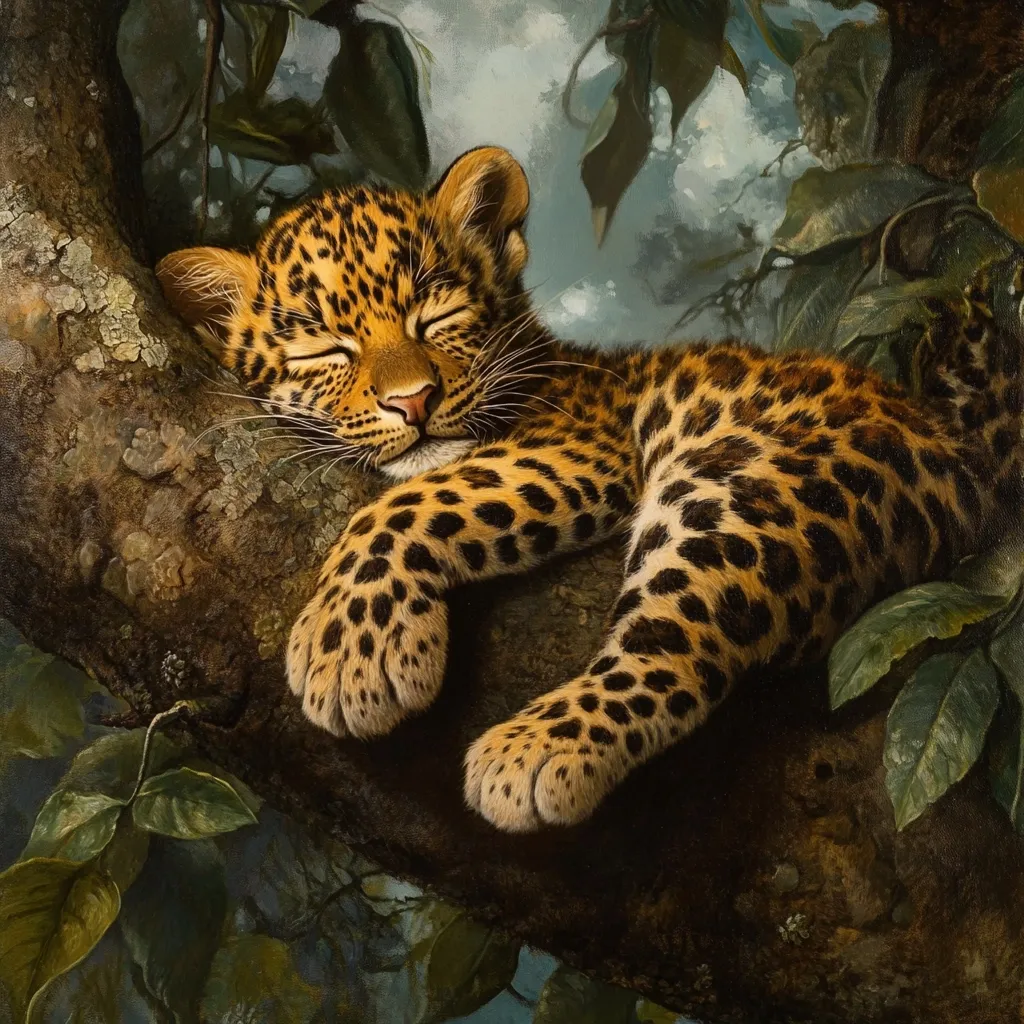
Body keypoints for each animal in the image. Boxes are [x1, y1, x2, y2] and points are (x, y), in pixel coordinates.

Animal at [157, 145, 1024, 833]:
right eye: (324, 351)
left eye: (436, 317)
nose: (413, 402)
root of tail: (965, 457)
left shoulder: (580, 444)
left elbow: (404, 502)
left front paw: (352, 649)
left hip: (757, 484)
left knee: (677, 651)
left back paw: (535, 751)